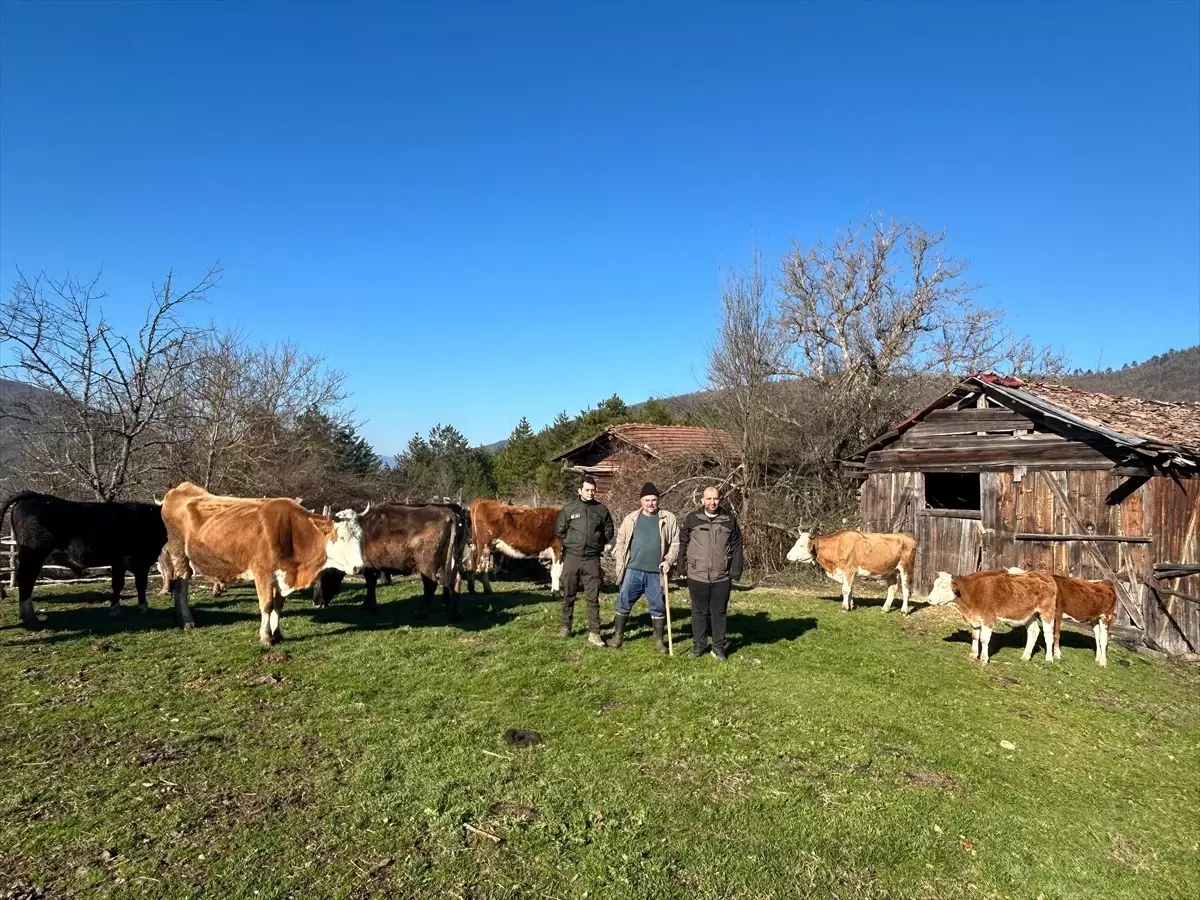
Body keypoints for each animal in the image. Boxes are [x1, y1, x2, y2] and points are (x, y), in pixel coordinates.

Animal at [0, 489, 169, 628]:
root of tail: (36, 495)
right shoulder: (136, 561)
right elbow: (131, 584)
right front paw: (139, 607)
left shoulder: (123, 562)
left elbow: (127, 585)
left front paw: (120, 608)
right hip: (34, 554)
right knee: (26, 580)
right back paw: (30, 618)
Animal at [160, 482, 364, 643]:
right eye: (342, 537)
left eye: (361, 536)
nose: (359, 567)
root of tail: (181, 488)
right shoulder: (262, 573)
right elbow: (266, 605)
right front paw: (265, 637)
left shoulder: (282, 575)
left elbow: (278, 605)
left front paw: (277, 634)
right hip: (179, 552)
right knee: (181, 587)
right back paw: (186, 620)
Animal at [309, 501, 468, 619]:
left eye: (323, 574)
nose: (316, 602)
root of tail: (449, 514)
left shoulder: (367, 566)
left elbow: (370, 584)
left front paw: (370, 606)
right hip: (454, 560)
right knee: (456, 580)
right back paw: (456, 612)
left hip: (426, 563)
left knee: (431, 585)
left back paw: (420, 613)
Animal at [787, 532, 916, 619]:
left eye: (801, 545)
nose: (788, 556)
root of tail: (907, 536)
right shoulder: (846, 572)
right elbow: (850, 589)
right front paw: (851, 605)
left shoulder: (849, 569)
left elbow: (845, 589)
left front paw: (844, 608)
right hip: (891, 571)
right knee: (892, 589)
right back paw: (885, 608)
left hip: (906, 569)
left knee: (906, 590)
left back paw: (904, 611)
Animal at [921, 573, 1056, 667]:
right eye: (934, 584)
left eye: (944, 586)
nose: (929, 599)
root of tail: (1044, 575)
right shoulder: (975, 620)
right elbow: (975, 637)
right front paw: (973, 655)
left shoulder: (988, 618)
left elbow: (984, 639)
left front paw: (984, 659)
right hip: (1029, 615)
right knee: (1033, 632)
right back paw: (1025, 656)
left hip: (1047, 612)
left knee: (1048, 635)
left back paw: (1049, 658)